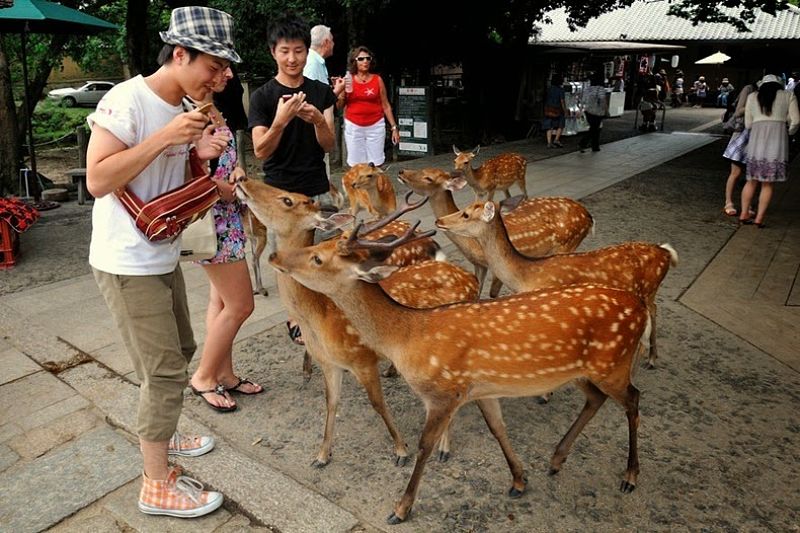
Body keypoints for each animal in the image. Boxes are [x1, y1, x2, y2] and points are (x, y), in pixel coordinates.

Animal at [236, 179, 476, 466]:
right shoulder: (330, 363)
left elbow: (377, 404)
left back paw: (443, 448)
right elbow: (331, 403)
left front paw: (401, 450)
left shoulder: (362, 359)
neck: (318, 320)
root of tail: (470, 278)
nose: (241, 180)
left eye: (287, 200)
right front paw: (322, 455)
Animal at [268, 206, 648, 520]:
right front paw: (519, 480)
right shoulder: (481, 390)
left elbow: (424, 446)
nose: (275, 256)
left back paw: (630, 475)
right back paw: (556, 459)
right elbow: (498, 429)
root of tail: (641, 309)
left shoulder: (442, 392)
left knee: (633, 398)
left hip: (613, 362)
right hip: (583, 371)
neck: (406, 336)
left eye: (318, 258)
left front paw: (401, 508)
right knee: (596, 398)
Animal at [396, 168, 592, 298]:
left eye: (428, 177)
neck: (470, 244)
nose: (402, 171)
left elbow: (492, 294)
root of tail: (589, 218)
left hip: (568, 243)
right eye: (423, 169)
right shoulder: (479, 264)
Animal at [434, 197, 680, 368]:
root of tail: (666, 253)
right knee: (655, 309)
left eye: (466, 214)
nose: (438, 220)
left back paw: (650, 359)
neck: (525, 275)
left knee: (653, 311)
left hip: (649, 289)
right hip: (649, 292)